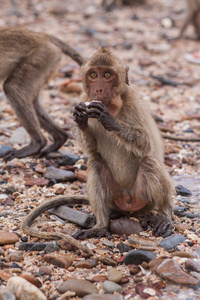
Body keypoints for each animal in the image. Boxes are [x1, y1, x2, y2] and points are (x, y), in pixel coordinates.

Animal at [0, 27, 85, 162]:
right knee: (31, 100)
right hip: (46, 62)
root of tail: (42, 36)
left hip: (42, 56)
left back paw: (38, 143)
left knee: (13, 88)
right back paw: (59, 137)